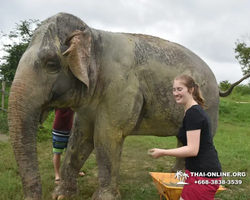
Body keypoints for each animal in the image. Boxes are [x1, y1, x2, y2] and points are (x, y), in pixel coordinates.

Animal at [7, 12, 250, 200]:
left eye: (51, 65)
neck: (93, 35)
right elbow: (80, 137)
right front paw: (61, 195)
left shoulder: (121, 85)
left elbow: (106, 136)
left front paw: (103, 198)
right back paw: (177, 175)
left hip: (210, 105)